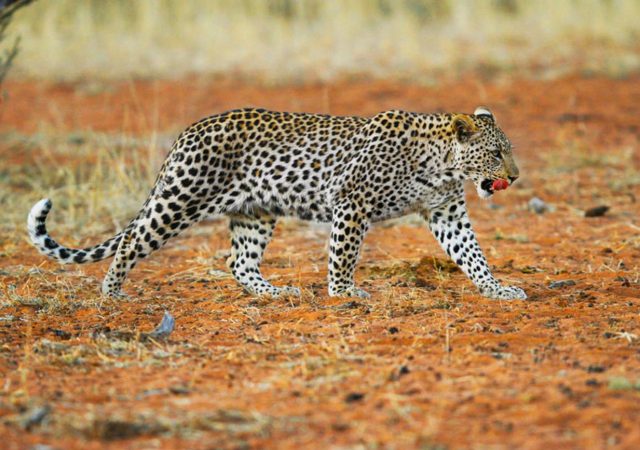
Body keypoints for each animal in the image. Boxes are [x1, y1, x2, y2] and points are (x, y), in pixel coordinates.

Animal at [28, 106, 526, 301]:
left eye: (508, 150)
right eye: (496, 152)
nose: (516, 176)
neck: (444, 165)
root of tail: (188, 131)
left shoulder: (447, 213)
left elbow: (473, 256)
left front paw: (498, 289)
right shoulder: (352, 202)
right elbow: (344, 255)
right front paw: (344, 293)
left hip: (255, 212)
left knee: (239, 263)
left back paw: (275, 293)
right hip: (181, 198)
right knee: (133, 240)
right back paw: (112, 292)